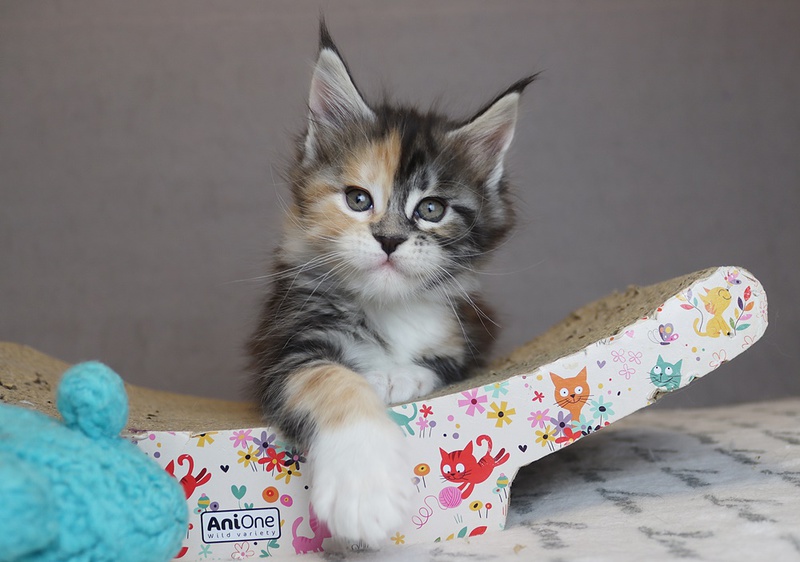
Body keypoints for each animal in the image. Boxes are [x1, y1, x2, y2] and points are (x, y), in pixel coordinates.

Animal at [247, 21, 533, 547]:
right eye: (359, 199)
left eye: (431, 209)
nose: (389, 239)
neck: (387, 306)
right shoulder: (283, 348)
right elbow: (332, 378)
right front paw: (366, 489)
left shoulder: (473, 335)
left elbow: (442, 363)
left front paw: (400, 375)